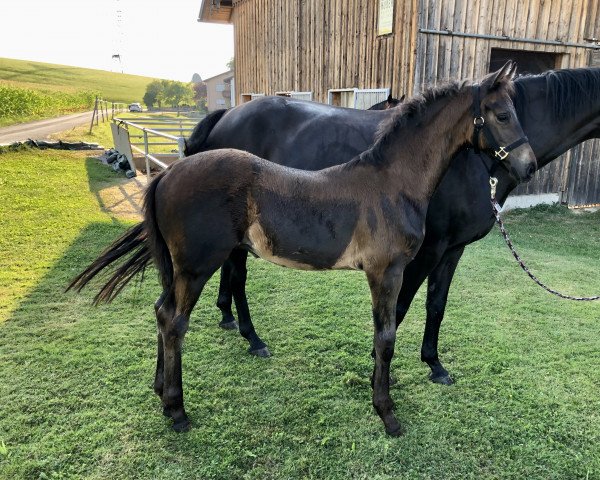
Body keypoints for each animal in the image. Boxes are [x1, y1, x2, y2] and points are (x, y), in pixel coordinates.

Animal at [69, 61, 536, 436]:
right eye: (502, 114)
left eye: (515, 112)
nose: (528, 166)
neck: (392, 182)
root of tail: (167, 174)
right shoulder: (387, 271)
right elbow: (386, 335)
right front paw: (387, 413)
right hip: (196, 266)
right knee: (174, 321)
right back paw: (178, 409)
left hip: (179, 267)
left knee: (160, 310)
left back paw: (160, 391)